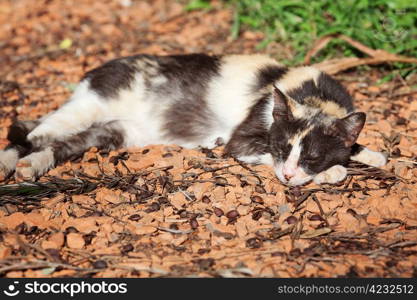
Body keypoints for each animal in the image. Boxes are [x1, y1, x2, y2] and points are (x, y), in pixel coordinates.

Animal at [0, 53, 386, 185]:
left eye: (312, 156)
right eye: (280, 147)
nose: (291, 174)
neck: (314, 96)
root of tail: (93, 73)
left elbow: (357, 147)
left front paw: (373, 155)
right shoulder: (240, 141)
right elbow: (255, 152)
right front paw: (335, 172)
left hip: (116, 132)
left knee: (65, 144)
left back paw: (31, 166)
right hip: (90, 105)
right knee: (33, 135)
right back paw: (12, 161)